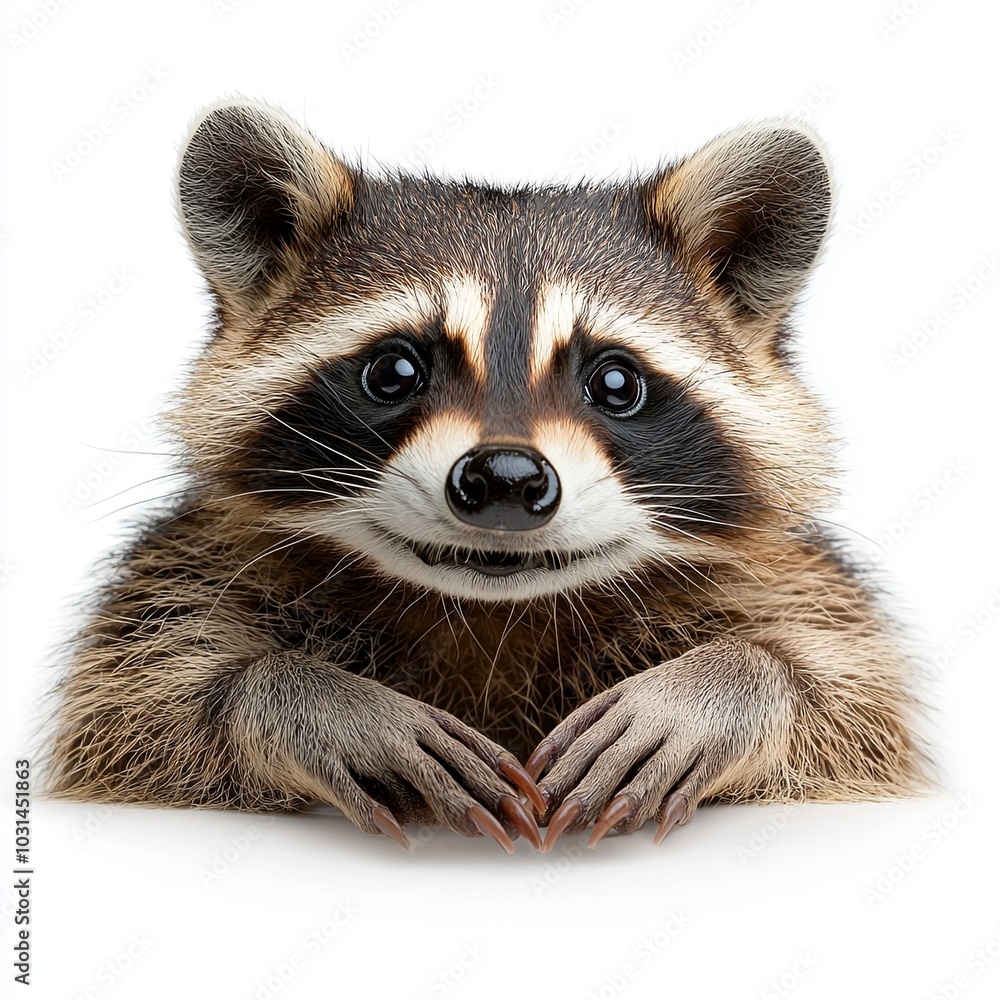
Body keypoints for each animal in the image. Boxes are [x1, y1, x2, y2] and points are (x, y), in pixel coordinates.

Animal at [44, 101, 930, 854]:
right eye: (394, 371)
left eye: (616, 383)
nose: (505, 475)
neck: (494, 614)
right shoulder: (186, 570)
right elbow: (138, 698)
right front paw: (305, 696)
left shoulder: (795, 584)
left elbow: (855, 691)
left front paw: (726, 685)